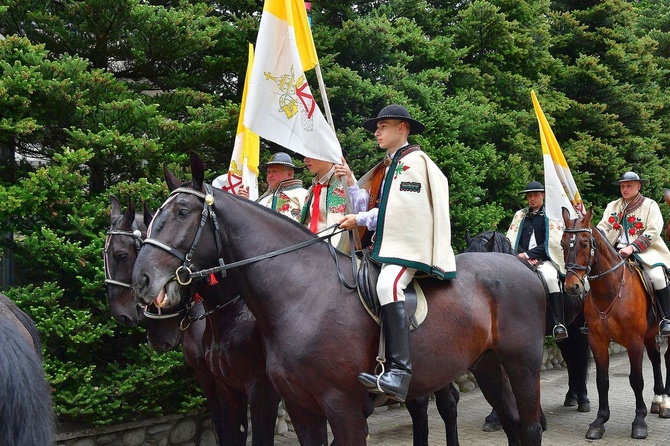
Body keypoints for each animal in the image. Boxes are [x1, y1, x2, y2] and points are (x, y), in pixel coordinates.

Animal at [134, 154, 548, 446]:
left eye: (182, 212)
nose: (142, 280)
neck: (302, 295)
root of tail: (522, 265)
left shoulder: (340, 407)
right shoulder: (299, 407)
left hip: (522, 365)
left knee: (528, 428)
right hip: (487, 365)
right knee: (510, 422)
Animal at [468, 230, 592, 432]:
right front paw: (495, 418)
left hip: (578, 329)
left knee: (580, 360)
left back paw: (582, 399)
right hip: (567, 334)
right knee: (571, 360)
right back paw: (571, 396)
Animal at [560, 208, 670, 440]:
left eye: (585, 243)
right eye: (563, 244)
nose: (572, 286)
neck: (611, 290)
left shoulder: (634, 342)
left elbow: (636, 380)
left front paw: (639, 422)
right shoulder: (598, 341)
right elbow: (602, 381)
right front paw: (599, 421)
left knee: (666, 358)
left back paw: (665, 404)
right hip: (649, 334)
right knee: (656, 358)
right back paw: (658, 400)